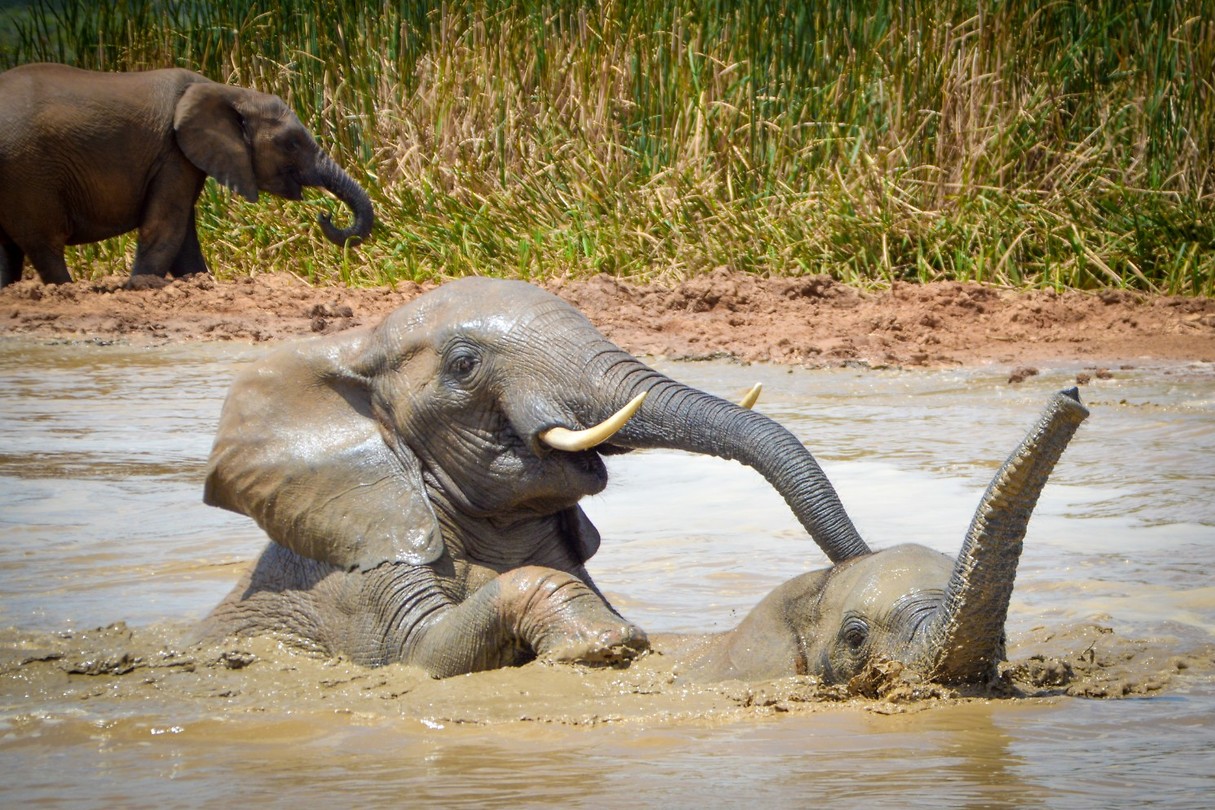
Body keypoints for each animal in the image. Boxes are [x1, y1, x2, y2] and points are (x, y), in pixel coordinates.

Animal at [0, 63, 373, 287]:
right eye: (292, 143)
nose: (324, 214)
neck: (227, 90)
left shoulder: (181, 157)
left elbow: (183, 238)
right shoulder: (172, 152)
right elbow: (166, 228)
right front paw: (140, 288)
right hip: (29, 174)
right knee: (45, 245)